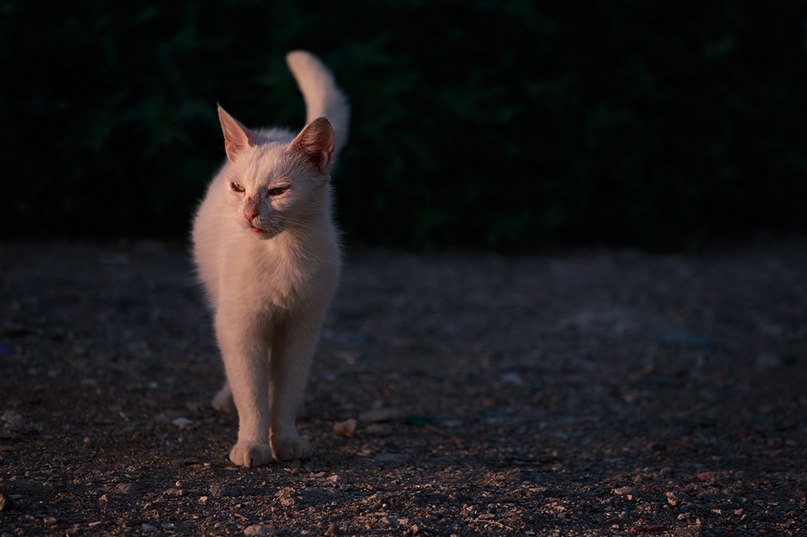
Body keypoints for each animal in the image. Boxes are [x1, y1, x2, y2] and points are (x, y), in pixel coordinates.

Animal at [196, 52, 350, 466]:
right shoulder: (240, 325)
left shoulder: (302, 326)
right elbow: (250, 392)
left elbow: (287, 392)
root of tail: (277, 129)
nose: (250, 213)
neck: (283, 255)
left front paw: (286, 440)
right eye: (238, 188)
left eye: (279, 191)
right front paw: (252, 443)